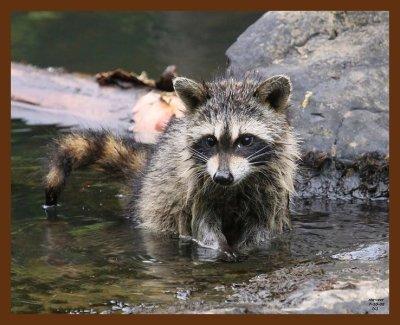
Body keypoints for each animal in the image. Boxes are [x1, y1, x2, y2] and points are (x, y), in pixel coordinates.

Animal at [44, 73, 300, 258]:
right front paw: (219, 249)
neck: (236, 185)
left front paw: (250, 248)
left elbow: (263, 230)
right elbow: (203, 227)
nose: (222, 177)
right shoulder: (196, 188)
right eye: (210, 140)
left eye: (246, 140)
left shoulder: (271, 190)